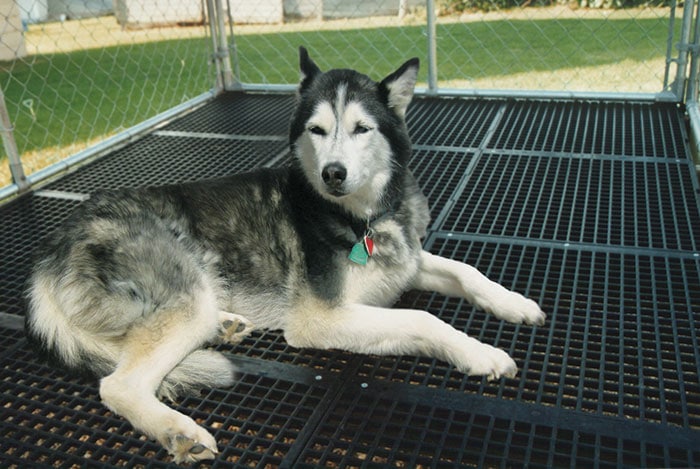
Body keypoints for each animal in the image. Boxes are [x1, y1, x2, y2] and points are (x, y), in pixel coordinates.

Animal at [24, 47, 544, 460]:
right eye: (317, 130)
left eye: (362, 129)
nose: (333, 172)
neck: (364, 220)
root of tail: (53, 245)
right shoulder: (321, 318)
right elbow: (423, 320)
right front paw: (480, 354)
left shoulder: (407, 262)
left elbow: (467, 270)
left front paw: (517, 304)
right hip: (184, 295)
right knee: (118, 383)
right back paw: (179, 431)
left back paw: (226, 326)